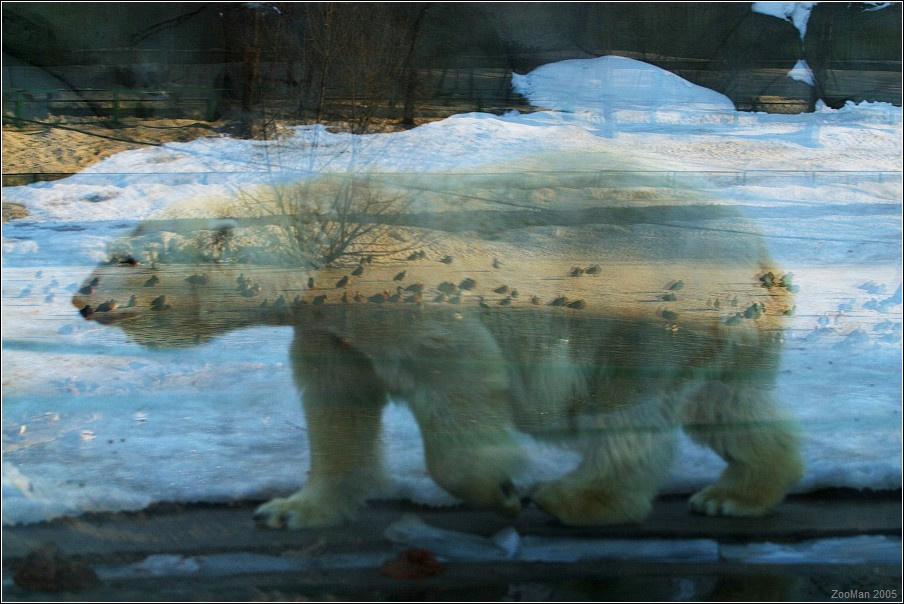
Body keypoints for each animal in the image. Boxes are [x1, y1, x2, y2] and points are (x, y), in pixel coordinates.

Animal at [72, 150, 803, 528]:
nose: (81, 297)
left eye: (129, 259)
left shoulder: (403, 286)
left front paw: (497, 486)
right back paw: (738, 492)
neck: (322, 243)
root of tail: (759, 254)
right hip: (729, 326)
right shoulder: (330, 324)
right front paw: (293, 508)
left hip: (644, 299)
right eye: (109, 253)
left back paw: (578, 498)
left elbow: (455, 380)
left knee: (626, 409)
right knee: (728, 403)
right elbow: (337, 407)